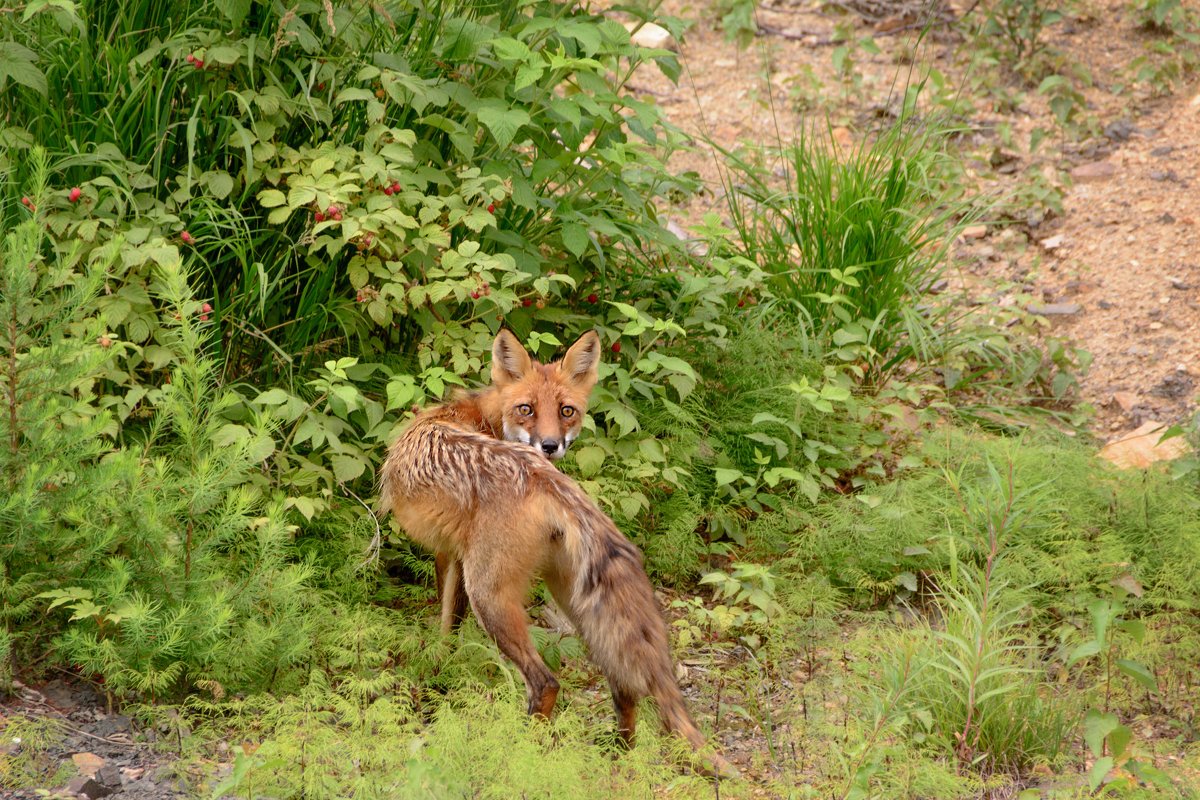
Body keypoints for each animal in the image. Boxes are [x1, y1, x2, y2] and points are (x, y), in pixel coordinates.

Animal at [379, 328, 729, 772]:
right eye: (526, 408)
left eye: (566, 411)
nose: (549, 445)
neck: (482, 417)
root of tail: (543, 479)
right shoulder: (457, 556)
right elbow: (449, 632)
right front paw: (440, 682)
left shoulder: (449, 556)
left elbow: (443, 630)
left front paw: (433, 689)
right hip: (573, 600)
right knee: (624, 682)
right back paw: (621, 755)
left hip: (490, 596)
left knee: (545, 682)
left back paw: (523, 754)